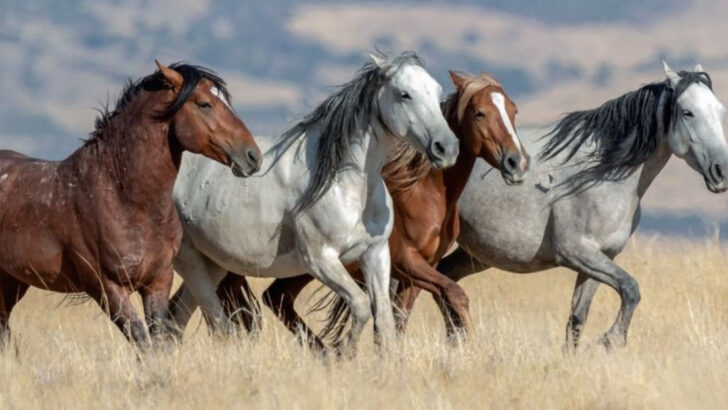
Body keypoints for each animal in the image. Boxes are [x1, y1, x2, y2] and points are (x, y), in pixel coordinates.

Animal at [0, 60, 262, 350]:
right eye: (204, 104)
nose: (253, 156)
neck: (124, 199)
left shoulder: (157, 282)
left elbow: (158, 341)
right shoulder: (108, 287)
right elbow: (142, 341)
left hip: (12, 281)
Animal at [168, 51, 458, 350]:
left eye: (437, 92)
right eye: (404, 94)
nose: (446, 148)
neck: (347, 186)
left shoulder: (376, 254)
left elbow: (385, 322)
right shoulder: (321, 260)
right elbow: (361, 305)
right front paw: (343, 352)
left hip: (213, 262)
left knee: (177, 315)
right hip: (189, 259)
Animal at [213, 71, 528, 350]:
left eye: (513, 110)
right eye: (479, 113)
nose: (517, 163)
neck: (424, 193)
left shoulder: (418, 269)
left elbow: (397, 321)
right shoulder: (407, 261)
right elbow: (455, 293)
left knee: (276, 299)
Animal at [420, 62, 728, 348]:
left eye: (719, 110)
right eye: (687, 112)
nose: (721, 171)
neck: (601, 173)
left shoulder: (600, 258)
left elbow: (577, 320)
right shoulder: (576, 252)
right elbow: (631, 288)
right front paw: (611, 339)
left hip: (477, 254)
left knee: (445, 280)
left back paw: (458, 343)